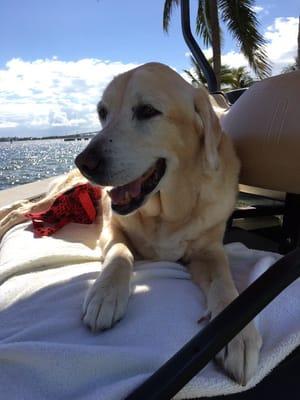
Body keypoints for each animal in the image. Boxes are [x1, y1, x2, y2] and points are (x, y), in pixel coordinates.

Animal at [0, 62, 262, 384]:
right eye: (102, 112)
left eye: (148, 111)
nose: (83, 162)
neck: (167, 213)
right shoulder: (112, 229)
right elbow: (120, 255)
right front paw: (105, 294)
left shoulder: (209, 250)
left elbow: (224, 282)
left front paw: (239, 336)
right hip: (55, 197)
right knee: (20, 209)